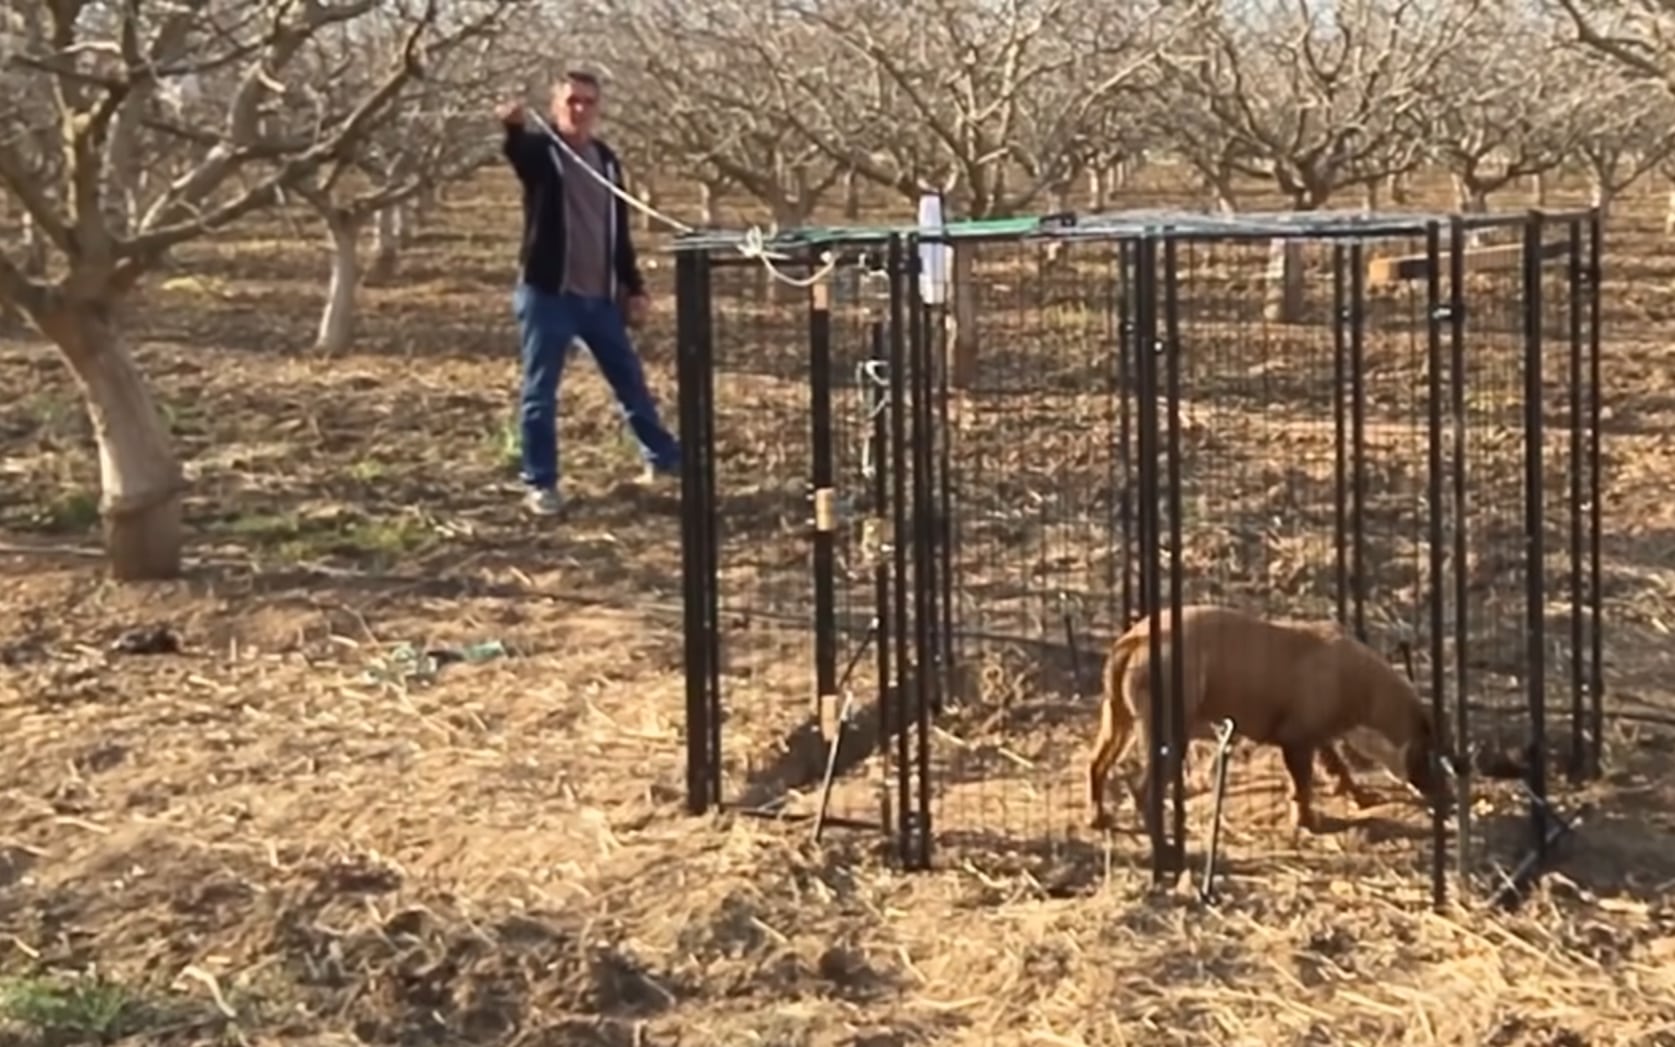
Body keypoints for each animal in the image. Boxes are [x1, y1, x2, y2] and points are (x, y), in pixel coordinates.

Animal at [1092, 603, 1447, 834]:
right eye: (1428, 752)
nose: (1442, 794)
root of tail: (1130, 643)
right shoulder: (1297, 743)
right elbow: (1303, 786)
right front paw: (1307, 822)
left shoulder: (1317, 738)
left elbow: (1337, 768)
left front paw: (1359, 797)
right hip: (1168, 739)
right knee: (1142, 790)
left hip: (1116, 726)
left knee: (1097, 767)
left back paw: (1099, 818)